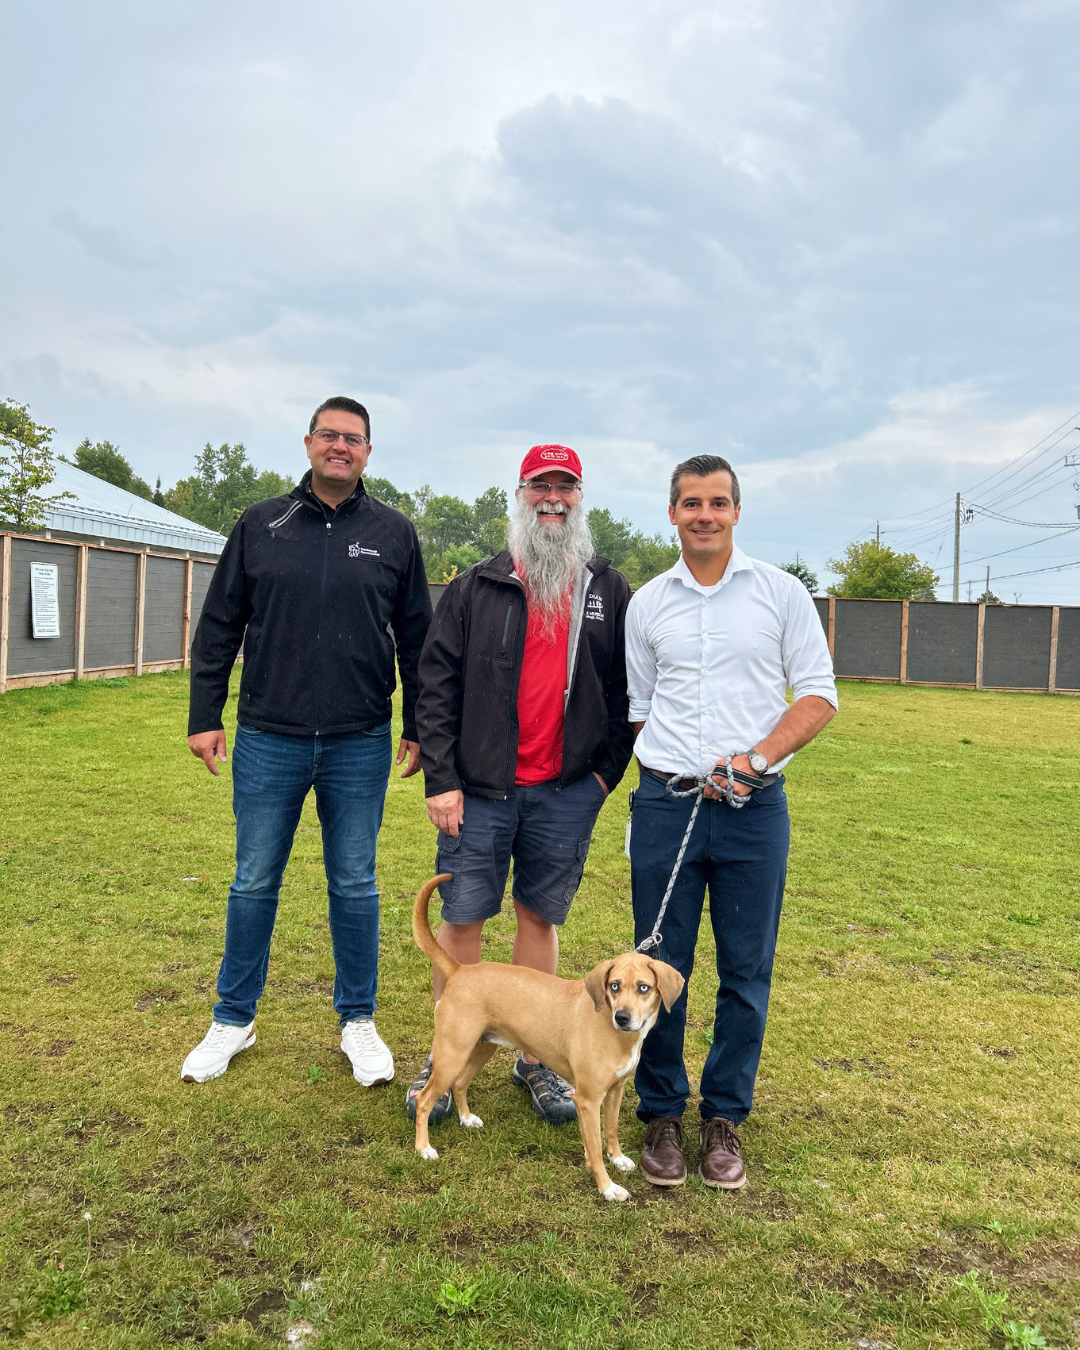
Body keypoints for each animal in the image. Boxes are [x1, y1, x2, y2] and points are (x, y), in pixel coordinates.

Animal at [413, 874, 683, 1204]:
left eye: (644, 988)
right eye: (615, 986)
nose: (622, 1017)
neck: (615, 1034)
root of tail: (459, 969)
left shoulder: (615, 1091)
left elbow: (611, 1131)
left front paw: (618, 1159)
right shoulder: (587, 1101)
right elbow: (594, 1151)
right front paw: (607, 1187)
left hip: (481, 1047)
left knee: (461, 1083)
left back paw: (466, 1119)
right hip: (452, 1054)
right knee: (425, 1100)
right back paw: (424, 1148)